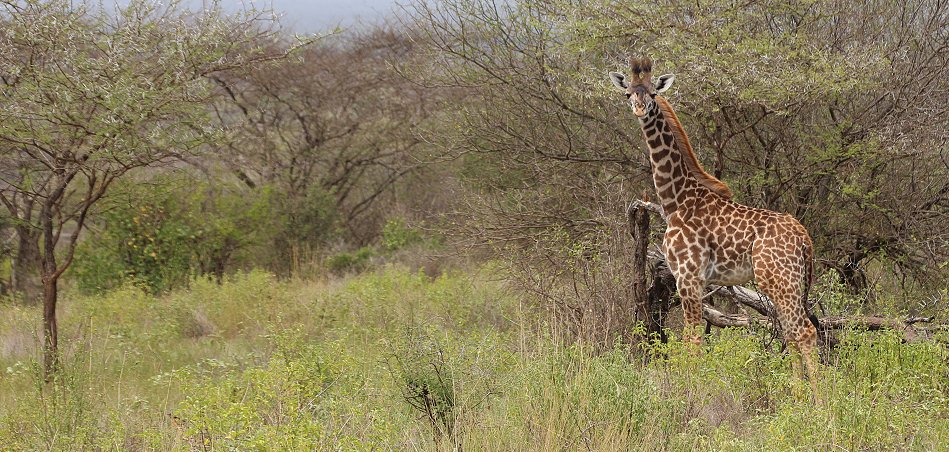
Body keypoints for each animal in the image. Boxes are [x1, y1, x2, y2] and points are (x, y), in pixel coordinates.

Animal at [612, 57, 820, 396]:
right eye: (628, 93)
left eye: (653, 94)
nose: (640, 109)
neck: (675, 200)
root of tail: (805, 239)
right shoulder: (695, 279)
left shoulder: (688, 275)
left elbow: (693, 336)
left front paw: (690, 393)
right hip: (789, 284)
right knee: (791, 332)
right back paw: (798, 396)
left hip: (780, 281)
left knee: (805, 331)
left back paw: (820, 400)